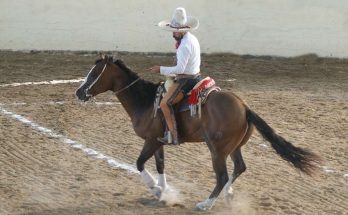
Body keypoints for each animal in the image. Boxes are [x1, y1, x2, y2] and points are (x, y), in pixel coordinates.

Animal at [75, 55, 320, 210]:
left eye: (94, 73)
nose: (79, 92)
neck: (144, 100)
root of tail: (244, 106)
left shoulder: (151, 141)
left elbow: (140, 163)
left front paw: (155, 189)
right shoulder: (158, 142)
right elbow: (160, 165)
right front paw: (164, 193)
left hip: (217, 149)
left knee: (222, 176)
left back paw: (206, 203)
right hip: (234, 147)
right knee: (239, 167)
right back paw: (228, 196)